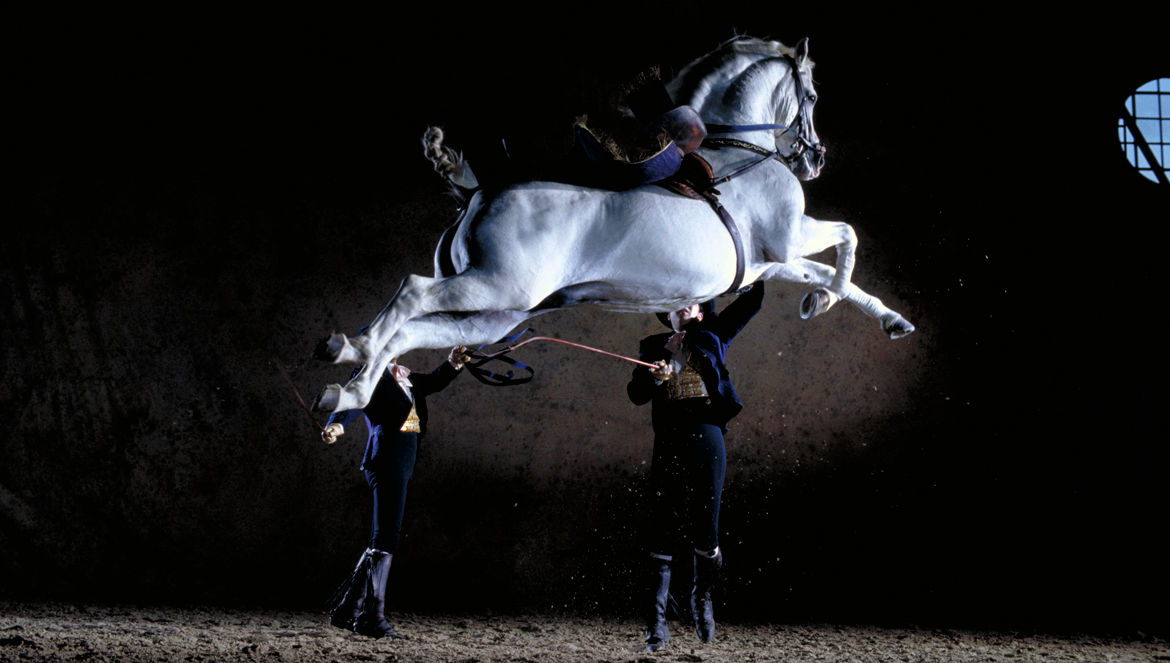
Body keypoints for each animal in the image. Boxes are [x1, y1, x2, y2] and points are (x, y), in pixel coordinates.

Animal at [311, 36, 912, 416]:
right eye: (811, 95)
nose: (816, 159)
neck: (740, 151)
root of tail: (477, 191)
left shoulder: (769, 262)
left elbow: (828, 271)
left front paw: (880, 316)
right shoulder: (790, 237)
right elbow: (848, 237)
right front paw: (825, 300)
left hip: (495, 315)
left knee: (412, 332)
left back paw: (346, 390)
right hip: (496, 286)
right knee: (411, 295)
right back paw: (350, 349)